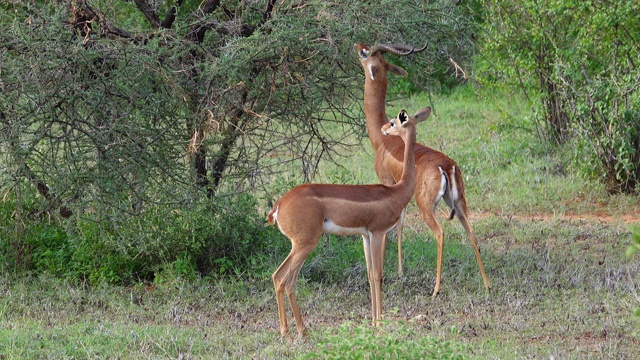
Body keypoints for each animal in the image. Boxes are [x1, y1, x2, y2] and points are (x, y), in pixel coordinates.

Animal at [356, 42, 490, 296]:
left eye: (365, 54)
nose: (358, 45)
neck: (382, 139)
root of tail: (447, 166)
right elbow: (400, 223)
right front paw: (399, 271)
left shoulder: (387, 184)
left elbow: (393, 226)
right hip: (459, 204)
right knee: (472, 235)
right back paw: (487, 284)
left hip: (427, 207)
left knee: (440, 233)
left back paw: (436, 289)